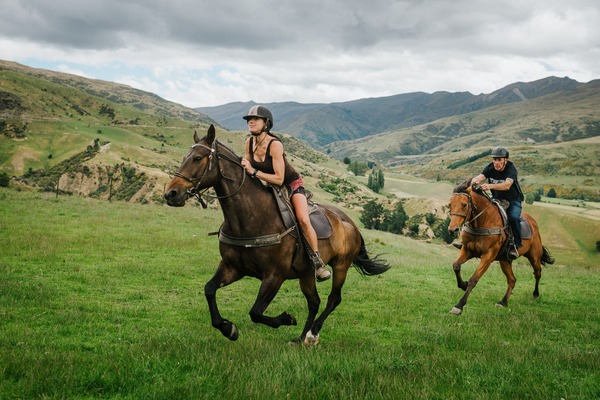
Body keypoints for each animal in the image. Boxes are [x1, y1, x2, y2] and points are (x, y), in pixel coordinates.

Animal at [164, 124, 392, 344]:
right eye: (184, 158)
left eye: (198, 158)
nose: (171, 194)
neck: (249, 218)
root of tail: (351, 224)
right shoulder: (233, 267)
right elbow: (209, 289)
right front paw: (228, 329)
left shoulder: (275, 275)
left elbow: (256, 312)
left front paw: (286, 319)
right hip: (306, 273)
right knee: (314, 302)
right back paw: (300, 338)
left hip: (341, 266)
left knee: (333, 299)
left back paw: (312, 334)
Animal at [448, 179, 556, 316]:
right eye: (449, 205)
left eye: (464, 205)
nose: (453, 230)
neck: (482, 221)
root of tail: (533, 223)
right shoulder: (467, 250)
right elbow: (456, 266)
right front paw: (463, 284)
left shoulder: (488, 256)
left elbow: (474, 279)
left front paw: (459, 305)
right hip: (505, 260)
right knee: (512, 280)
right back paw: (503, 302)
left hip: (534, 257)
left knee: (537, 273)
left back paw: (535, 294)